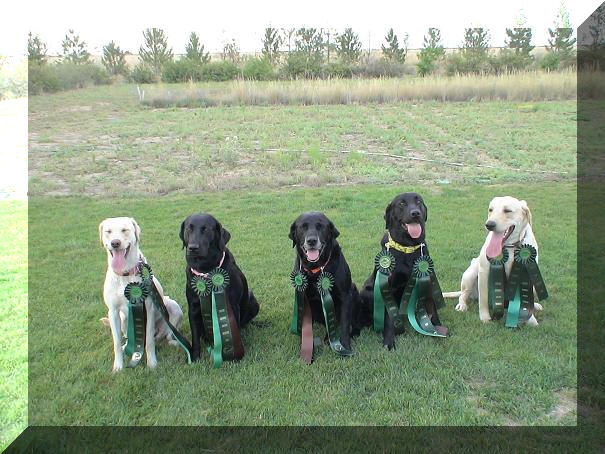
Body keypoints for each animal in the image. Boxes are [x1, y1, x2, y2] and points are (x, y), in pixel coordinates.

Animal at [177, 214, 258, 362]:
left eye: (206, 229)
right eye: (188, 229)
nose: (193, 248)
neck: (206, 269)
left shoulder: (232, 304)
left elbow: (234, 330)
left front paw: (235, 356)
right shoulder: (193, 307)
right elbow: (195, 337)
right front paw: (195, 357)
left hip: (252, 299)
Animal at [288, 211, 358, 350]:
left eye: (320, 226)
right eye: (303, 226)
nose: (311, 241)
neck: (316, 268)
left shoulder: (345, 295)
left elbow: (344, 323)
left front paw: (344, 345)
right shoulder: (302, 295)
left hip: (353, 288)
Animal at [358, 193, 438, 350]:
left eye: (418, 201)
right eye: (401, 204)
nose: (415, 213)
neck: (407, 248)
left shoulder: (427, 279)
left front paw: (436, 327)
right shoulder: (388, 287)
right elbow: (389, 318)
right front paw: (389, 341)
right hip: (368, 291)